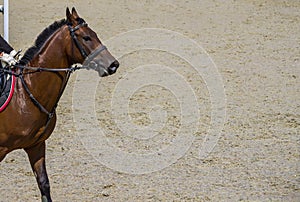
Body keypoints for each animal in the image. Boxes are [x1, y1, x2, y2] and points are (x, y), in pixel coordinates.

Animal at [0, 7, 119, 201]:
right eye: (86, 37)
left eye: (95, 34)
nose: (113, 64)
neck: (26, 92)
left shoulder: (36, 146)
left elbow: (44, 185)